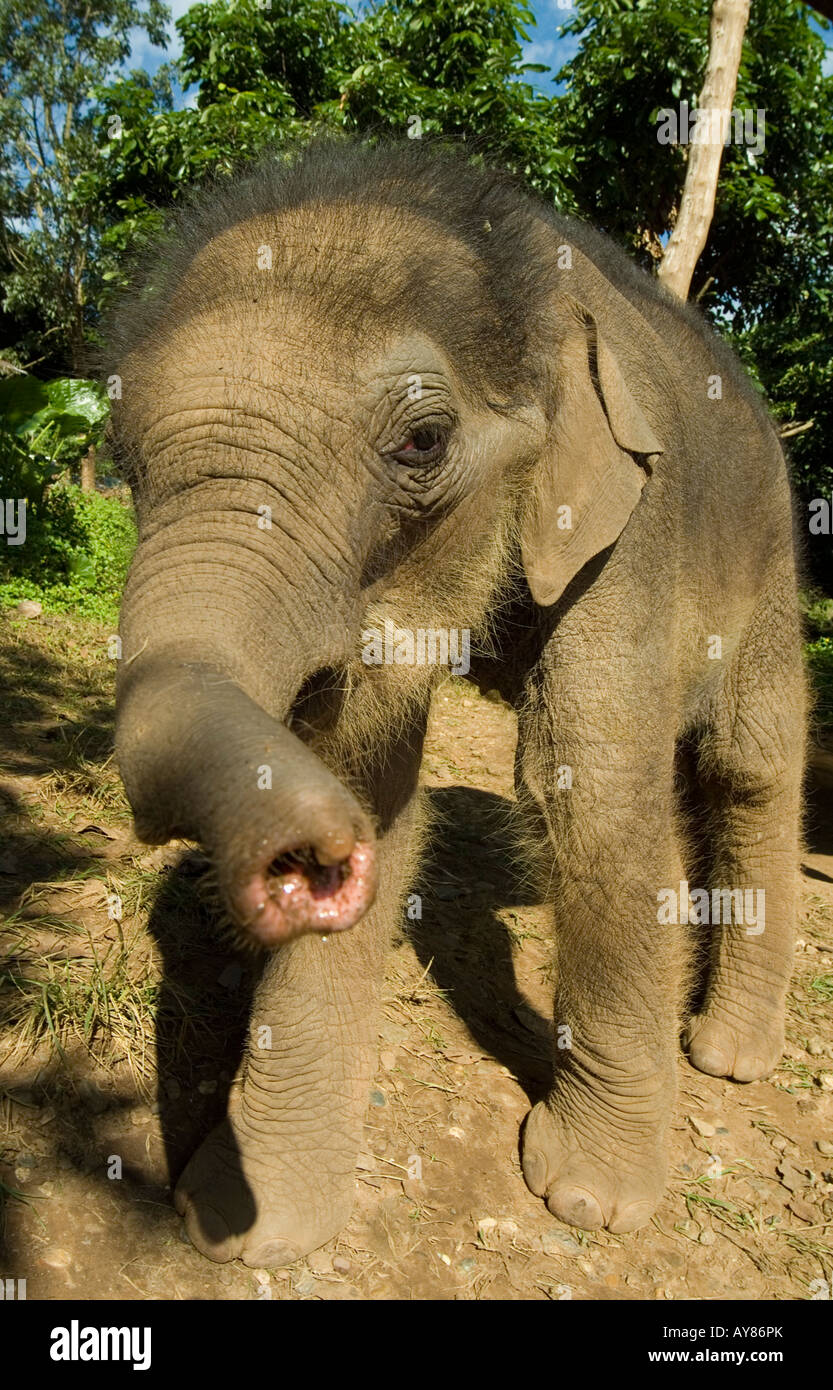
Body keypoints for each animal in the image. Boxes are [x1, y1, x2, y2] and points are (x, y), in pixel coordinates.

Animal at [109, 138, 806, 1262]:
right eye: (121, 455)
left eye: (422, 442)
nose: (289, 855)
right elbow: (371, 780)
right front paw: (245, 1225)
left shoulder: (632, 528)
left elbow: (590, 789)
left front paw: (590, 1200)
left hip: (774, 557)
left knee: (746, 763)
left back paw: (727, 1055)